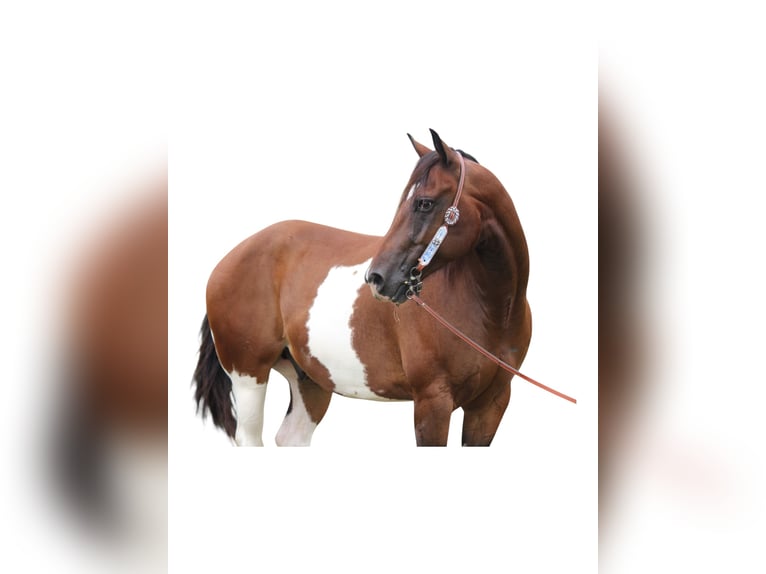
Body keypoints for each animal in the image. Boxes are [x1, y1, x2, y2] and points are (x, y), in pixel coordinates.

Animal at [193, 129, 531, 446]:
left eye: (424, 203)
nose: (377, 278)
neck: (490, 311)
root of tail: (230, 258)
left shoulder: (490, 405)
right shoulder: (432, 402)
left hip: (309, 379)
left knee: (292, 437)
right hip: (248, 376)